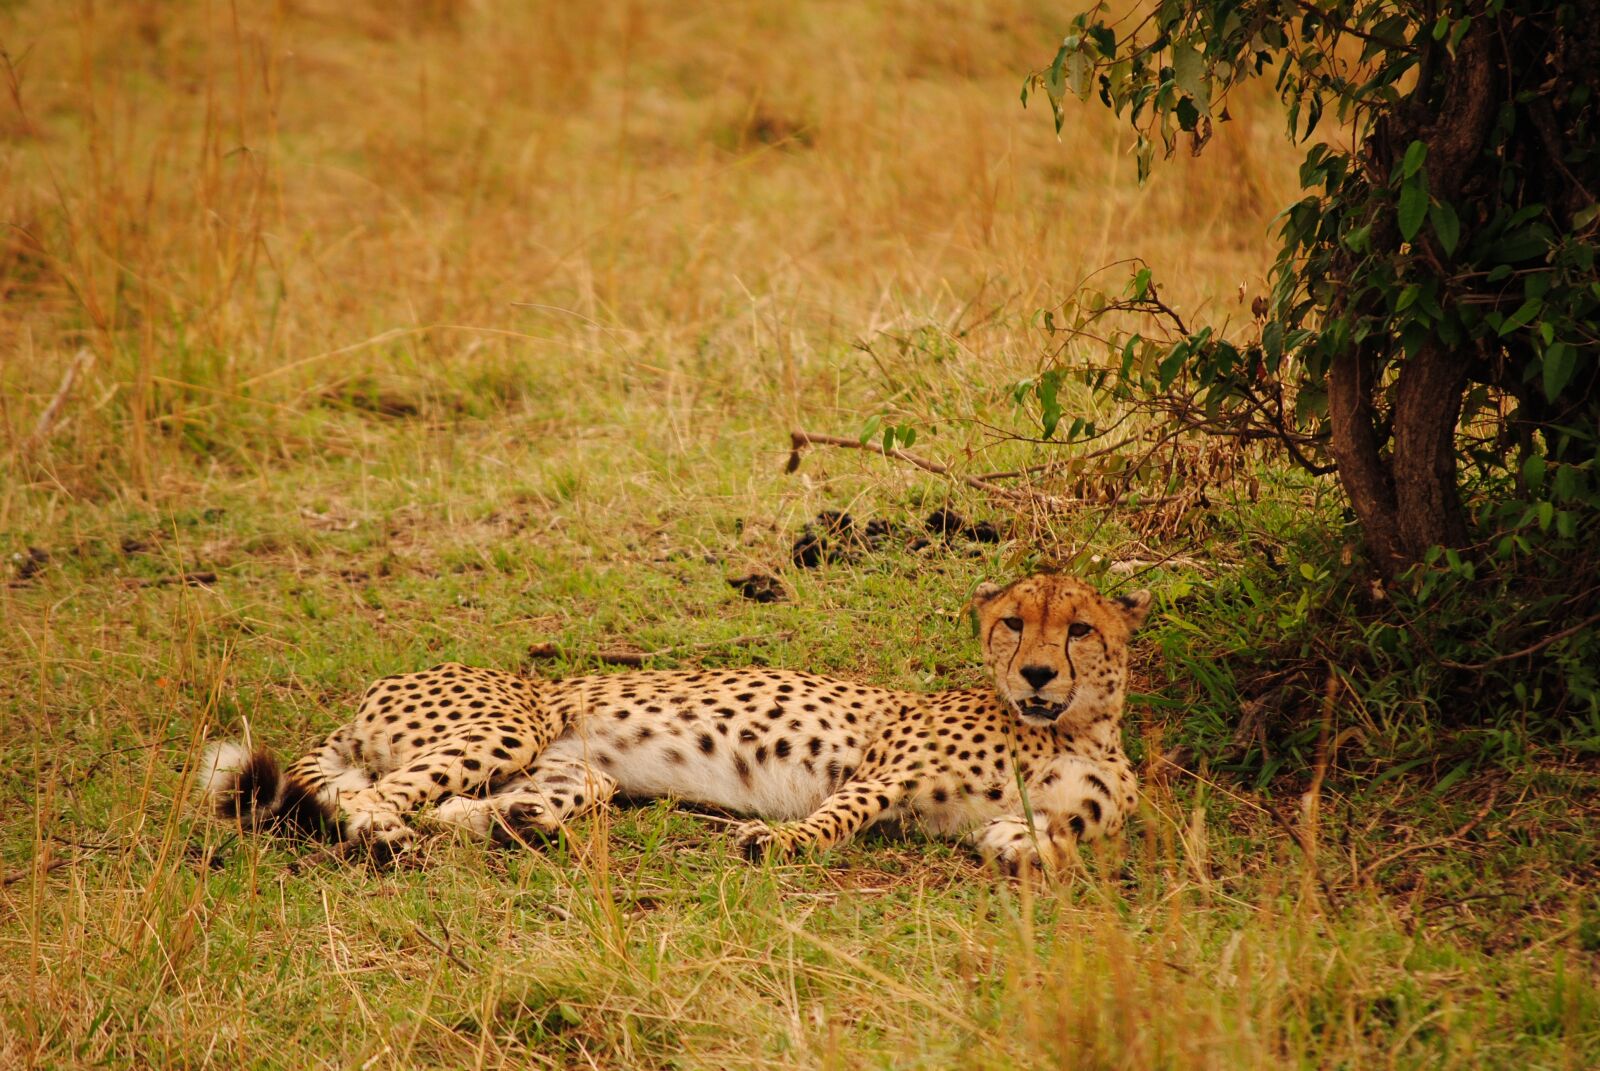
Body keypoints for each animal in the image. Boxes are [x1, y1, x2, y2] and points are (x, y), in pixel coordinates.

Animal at [197, 572, 1151, 873]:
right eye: (1013, 622)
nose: (1036, 672)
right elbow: (836, 818)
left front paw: (1020, 848)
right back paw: (388, 839)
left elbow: (1050, 841)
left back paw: (511, 823)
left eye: (1078, 628)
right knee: (381, 796)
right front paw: (777, 841)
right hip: (503, 726)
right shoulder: (885, 771)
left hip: (575, 769)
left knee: (457, 803)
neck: (1073, 728)